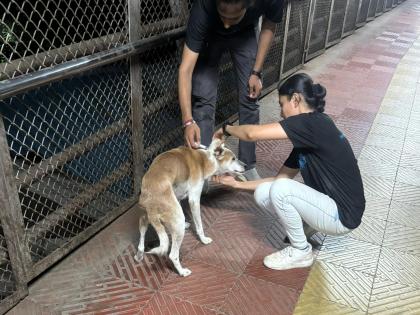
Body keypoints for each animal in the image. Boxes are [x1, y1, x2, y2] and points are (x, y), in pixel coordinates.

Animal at [135, 139, 244, 276]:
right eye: (233, 158)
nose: (246, 166)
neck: (205, 160)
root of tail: (151, 202)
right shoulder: (194, 200)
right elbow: (199, 225)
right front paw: (203, 239)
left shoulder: (178, 196)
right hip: (177, 221)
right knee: (173, 255)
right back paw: (182, 272)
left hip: (145, 216)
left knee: (141, 238)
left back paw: (139, 255)